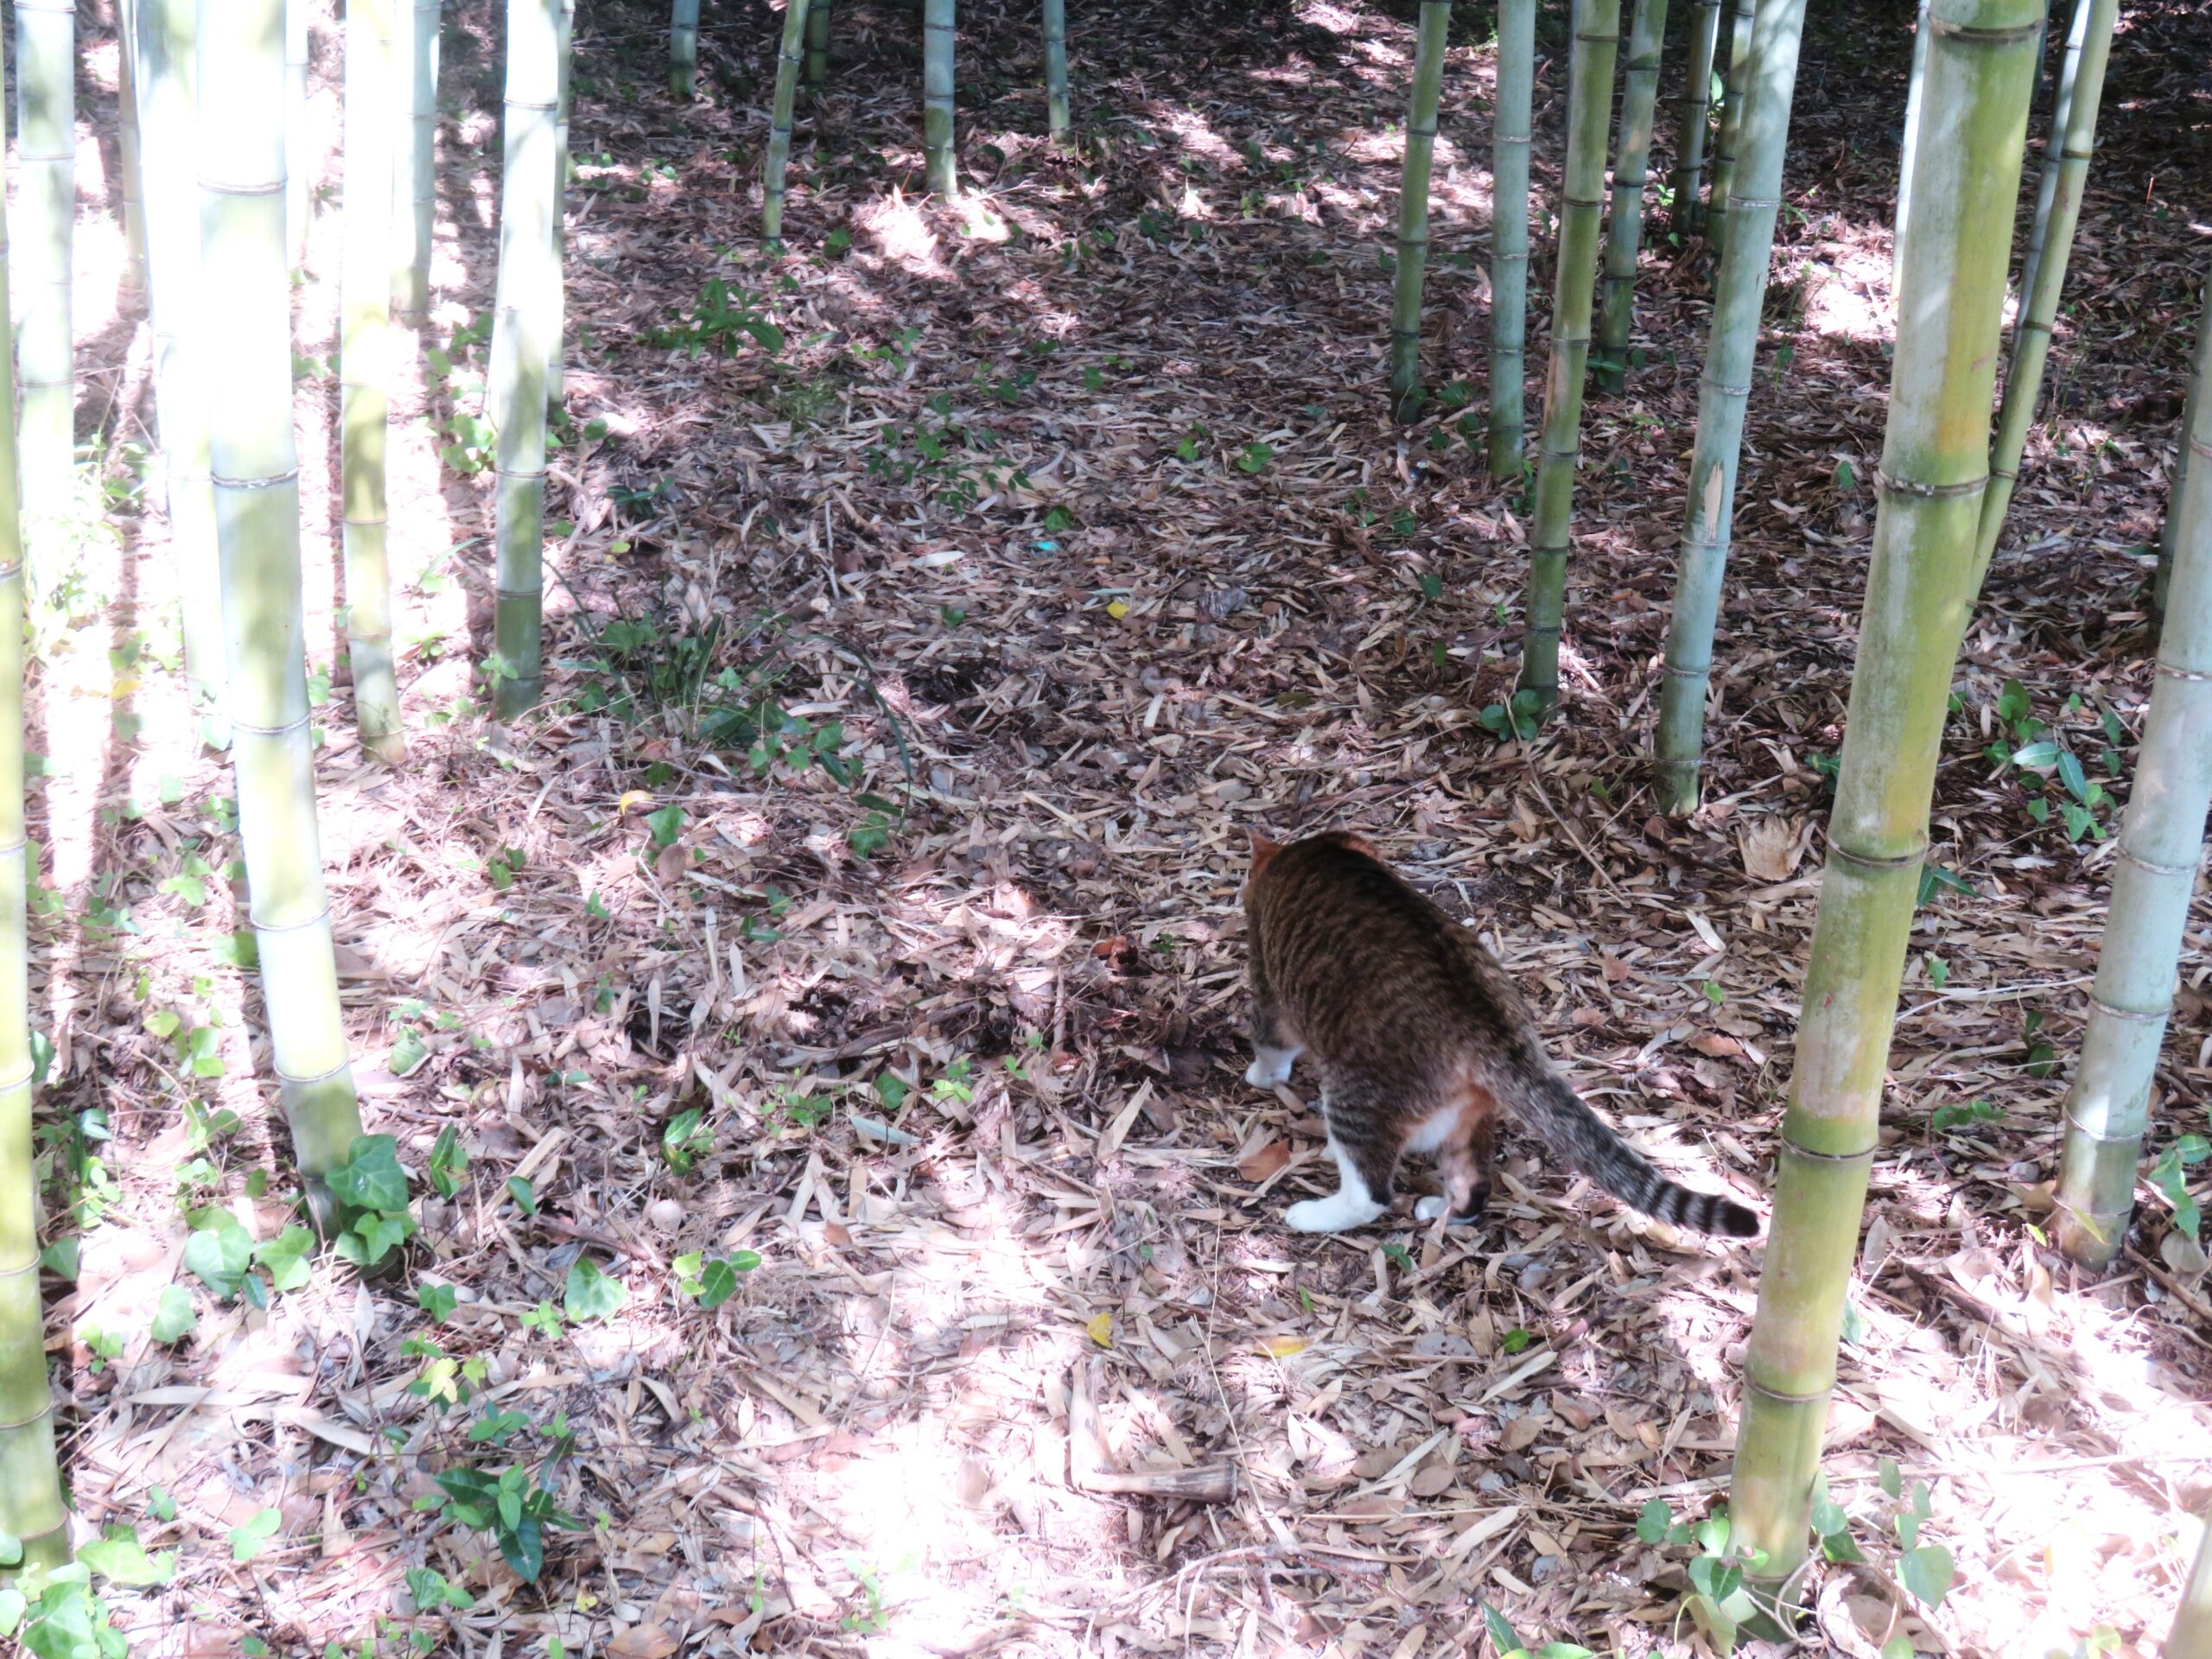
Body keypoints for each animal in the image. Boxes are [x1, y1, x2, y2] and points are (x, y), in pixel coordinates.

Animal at [1247, 827, 1760, 1238]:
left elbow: (1272, 1042)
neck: (1321, 852)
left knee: (1371, 1192)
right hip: (1467, 1111)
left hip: (1360, 1095)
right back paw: (1446, 1210)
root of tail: (1487, 1025)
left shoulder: (1269, 983)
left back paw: (1315, 1215)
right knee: (1473, 1181)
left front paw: (1261, 1074)